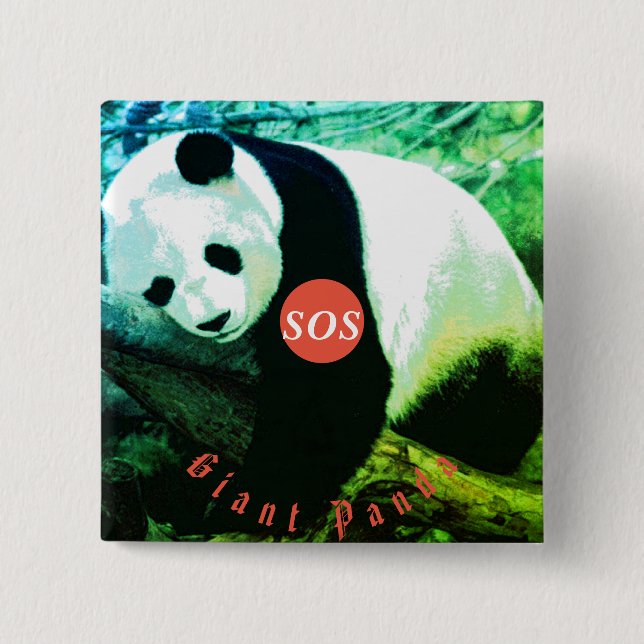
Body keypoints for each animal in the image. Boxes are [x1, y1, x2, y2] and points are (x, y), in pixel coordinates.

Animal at [102, 130, 542, 527]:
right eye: (161, 287)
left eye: (220, 254)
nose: (216, 319)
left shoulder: (312, 221)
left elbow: (336, 375)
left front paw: (254, 503)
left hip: (476, 327)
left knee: (488, 412)